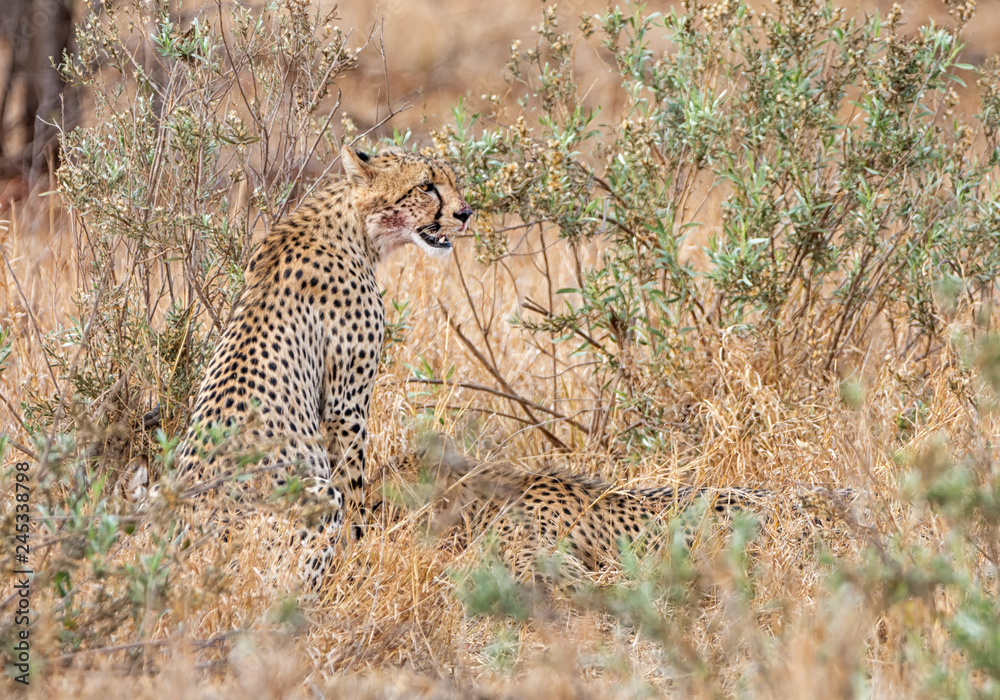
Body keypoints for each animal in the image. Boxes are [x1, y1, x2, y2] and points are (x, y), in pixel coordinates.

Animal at [155, 146, 471, 586]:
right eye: (426, 186)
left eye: (452, 181)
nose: (466, 213)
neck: (355, 228)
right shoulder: (345, 406)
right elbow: (354, 484)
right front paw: (360, 555)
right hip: (315, 500)